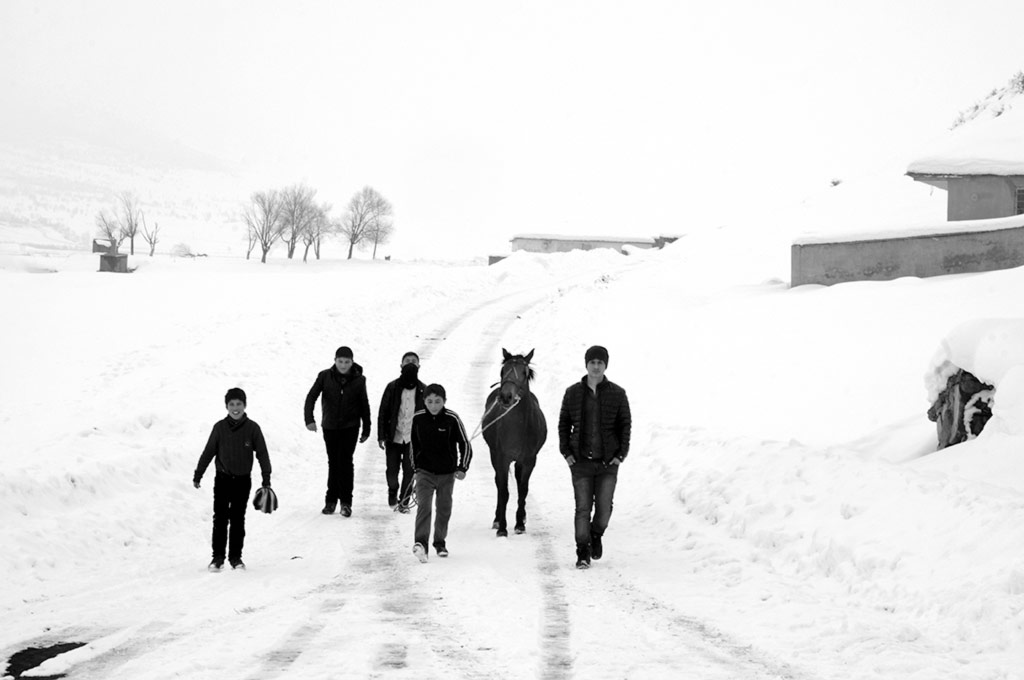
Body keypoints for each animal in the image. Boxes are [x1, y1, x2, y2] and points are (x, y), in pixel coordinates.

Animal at [483, 350, 548, 536]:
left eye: (525, 373)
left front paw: (519, 524)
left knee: (519, 483)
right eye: (502, 371)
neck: (517, 427)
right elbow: (503, 491)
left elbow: (523, 490)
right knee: (498, 483)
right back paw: (497, 519)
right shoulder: (501, 458)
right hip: (494, 455)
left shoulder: (529, 460)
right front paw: (502, 528)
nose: (506, 396)